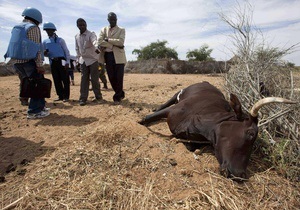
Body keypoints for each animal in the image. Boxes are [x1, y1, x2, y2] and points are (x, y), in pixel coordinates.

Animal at [139, 82, 296, 180]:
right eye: (251, 133)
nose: (239, 174)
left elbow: (189, 145)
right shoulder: (172, 111)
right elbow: (147, 118)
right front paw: (141, 119)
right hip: (180, 92)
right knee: (168, 101)